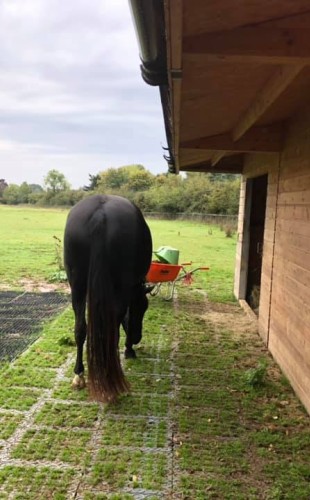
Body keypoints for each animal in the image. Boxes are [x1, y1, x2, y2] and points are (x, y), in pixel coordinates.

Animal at [64, 193, 153, 400]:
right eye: (143, 308)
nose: (137, 338)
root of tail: (99, 215)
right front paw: (129, 349)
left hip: (77, 284)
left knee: (80, 328)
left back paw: (79, 375)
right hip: (119, 287)